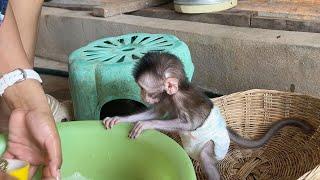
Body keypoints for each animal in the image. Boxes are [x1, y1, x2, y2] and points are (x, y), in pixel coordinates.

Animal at [104, 51, 314, 179]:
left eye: (144, 89)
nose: (141, 95)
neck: (177, 92)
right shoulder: (166, 99)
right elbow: (157, 111)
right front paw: (119, 119)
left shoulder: (180, 99)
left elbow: (190, 124)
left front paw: (146, 125)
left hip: (219, 148)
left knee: (206, 154)